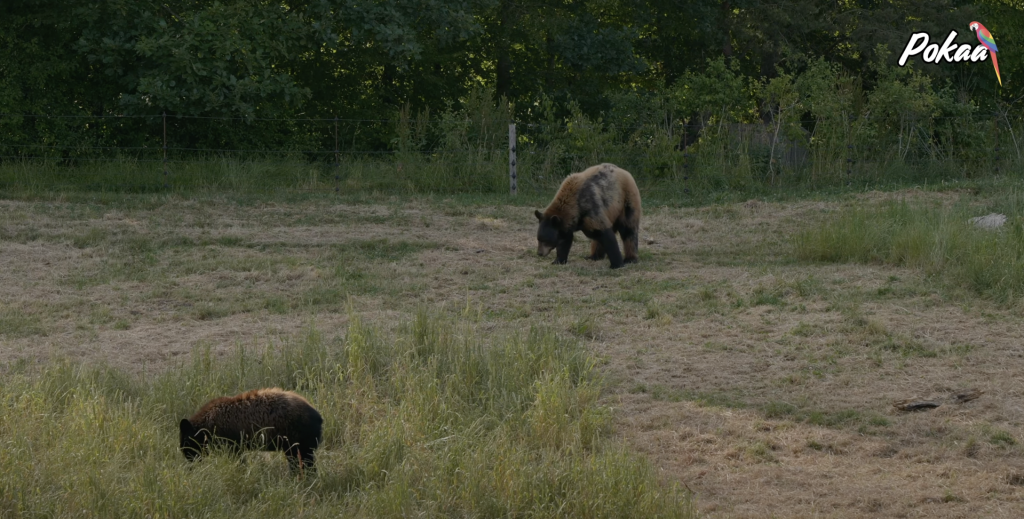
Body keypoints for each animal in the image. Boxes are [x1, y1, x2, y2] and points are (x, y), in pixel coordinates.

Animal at [178, 386, 323, 474]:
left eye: (186, 442)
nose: (189, 460)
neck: (207, 425)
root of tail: (318, 417)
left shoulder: (232, 444)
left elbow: (239, 460)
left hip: (298, 443)